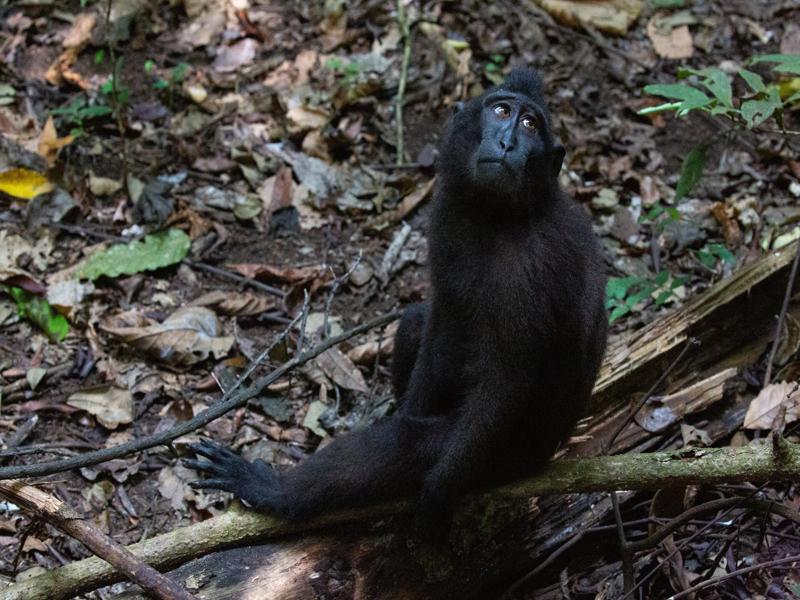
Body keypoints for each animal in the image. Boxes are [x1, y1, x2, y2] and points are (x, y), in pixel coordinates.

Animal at [184, 68, 608, 534]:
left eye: (531, 124)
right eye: (501, 110)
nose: (507, 141)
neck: (497, 217)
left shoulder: (531, 273)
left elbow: (506, 383)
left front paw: (438, 495)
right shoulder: (447, 219)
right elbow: (441, 323)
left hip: (504, 459)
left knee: (405, 445)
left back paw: (273, 490)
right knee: (413, 324)